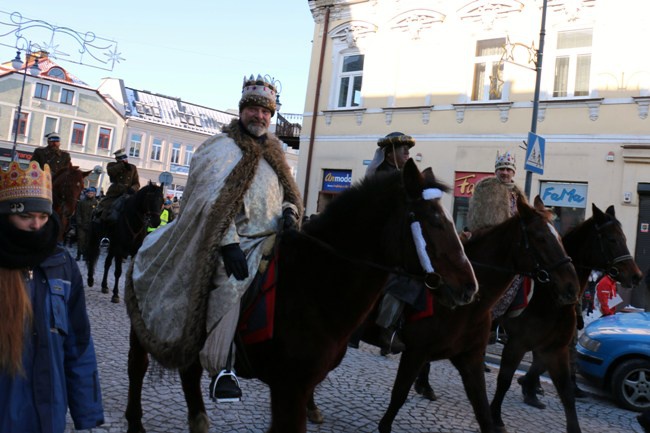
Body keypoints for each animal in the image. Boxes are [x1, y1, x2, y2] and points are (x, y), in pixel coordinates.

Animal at [123, 160, 476, 432]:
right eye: (434, 221)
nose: (470, 287)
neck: (314, 284)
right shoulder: (289, 389)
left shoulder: (296, 389)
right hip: (146, 327)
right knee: (137, 368)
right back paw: (135, 422)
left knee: (190, 374)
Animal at [486, 204, 644, 432]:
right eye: (611, 239)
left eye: (624, 237)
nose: (636, 275)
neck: (549, 296)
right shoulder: (518, 343)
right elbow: (505, 379)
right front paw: (498, 415)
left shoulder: (554, 347)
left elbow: (562, 388)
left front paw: (530, 389)